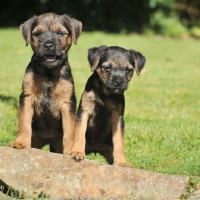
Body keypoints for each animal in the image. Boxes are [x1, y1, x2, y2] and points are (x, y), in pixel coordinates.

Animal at [9, 12, 82, 154]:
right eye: (37, 34)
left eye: (60, 33)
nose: (48, 45)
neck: (49, 72)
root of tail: (48, 140)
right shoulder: (27, 97)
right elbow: (24, 122)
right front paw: (20, 142)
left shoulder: (67, 101)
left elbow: (70, 129)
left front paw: (70, 150)